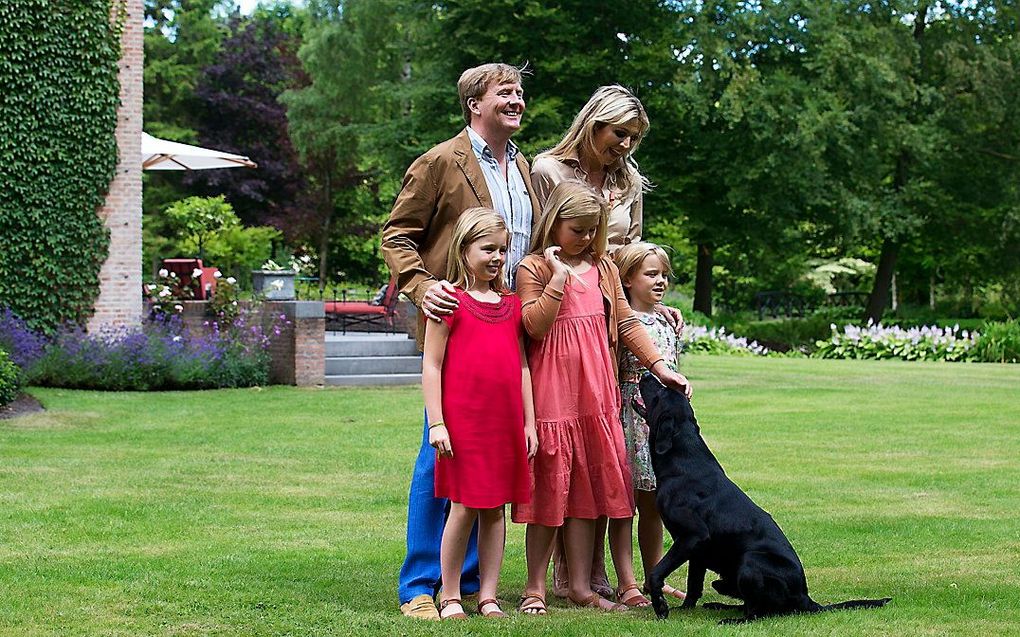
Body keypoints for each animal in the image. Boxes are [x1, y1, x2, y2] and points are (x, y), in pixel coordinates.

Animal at [632, 373, 889, 619]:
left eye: (661, 393)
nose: (646, 375)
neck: (681, 459)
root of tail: (806, 598)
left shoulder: (693, 536)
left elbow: (656, 572)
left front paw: (661, 606)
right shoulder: (698, 550)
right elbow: (693, 584)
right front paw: (684, 609)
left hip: (751, 561)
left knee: (757, 612)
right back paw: (719, 606)